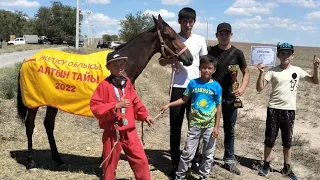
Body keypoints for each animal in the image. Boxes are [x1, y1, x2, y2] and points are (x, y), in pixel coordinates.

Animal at [15, 14, 192, 171]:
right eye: (171, 36)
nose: (189, 58)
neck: (122, 64)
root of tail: (28, 61)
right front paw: (106, 161)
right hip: (33, 103)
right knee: (30, 126)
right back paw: (31, 163)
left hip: (52, 101)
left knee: (48, 125)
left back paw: (58, 160)